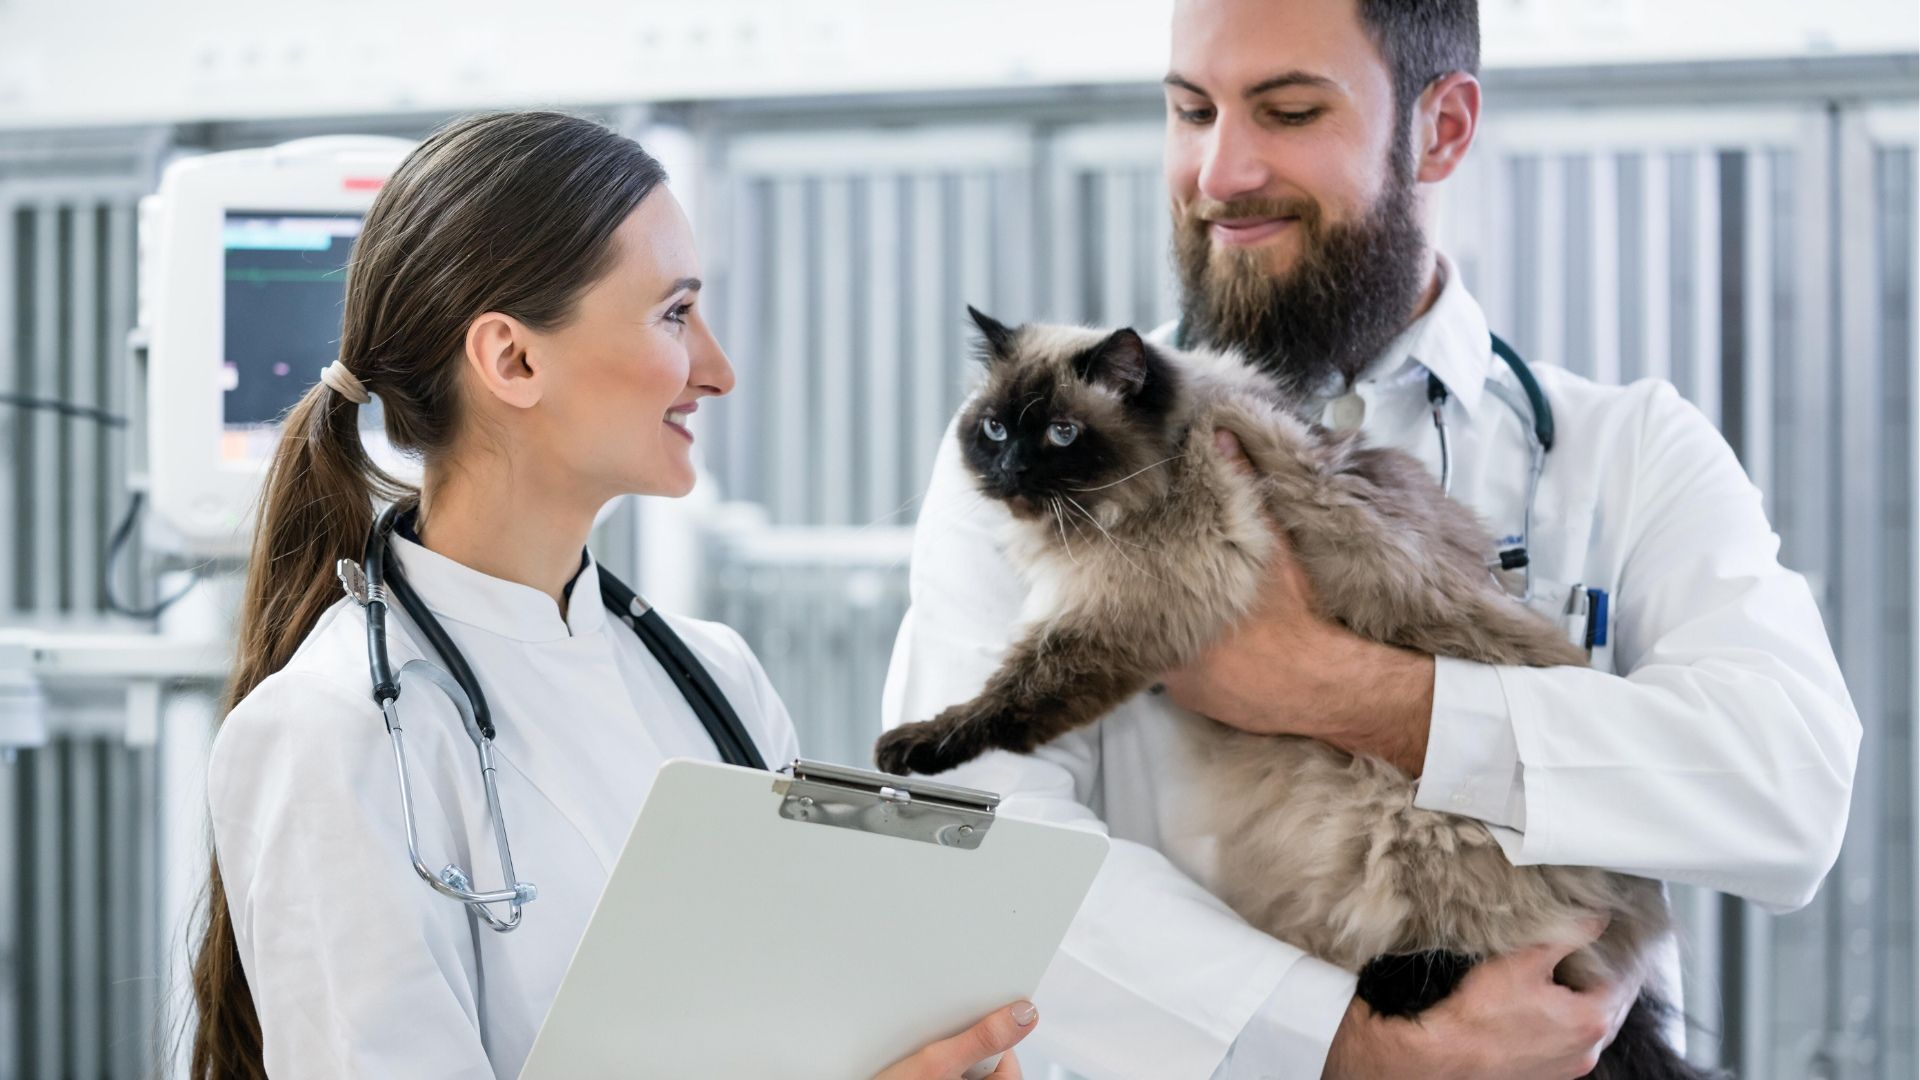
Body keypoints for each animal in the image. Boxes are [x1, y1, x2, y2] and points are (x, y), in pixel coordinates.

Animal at [879, 305, 1720, 1076]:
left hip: (1417, 820)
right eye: (993, 430)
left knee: (1519, 936)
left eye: (1058, 435)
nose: (1009, 473)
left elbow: (1013, 693)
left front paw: (913, 745)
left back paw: (1404, 984)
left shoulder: (1129, 615)